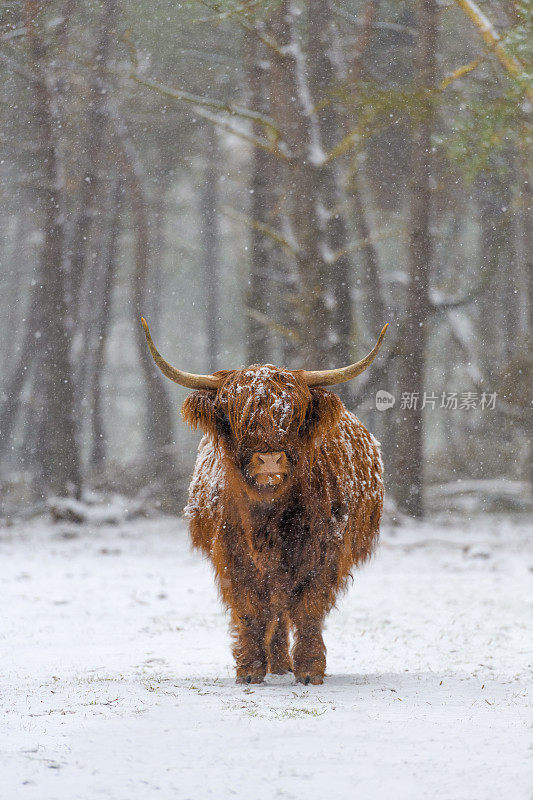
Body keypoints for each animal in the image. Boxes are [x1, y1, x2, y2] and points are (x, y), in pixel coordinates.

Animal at [141, 316, 386, 684]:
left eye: (294, 416)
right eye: (236, 416)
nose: (270, 459)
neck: (267, 518)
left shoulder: (326, 552)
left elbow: (309, 608)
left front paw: (310, 669)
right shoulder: (231, 555)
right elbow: (250, 611)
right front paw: (250, 669)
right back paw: (277, 663)